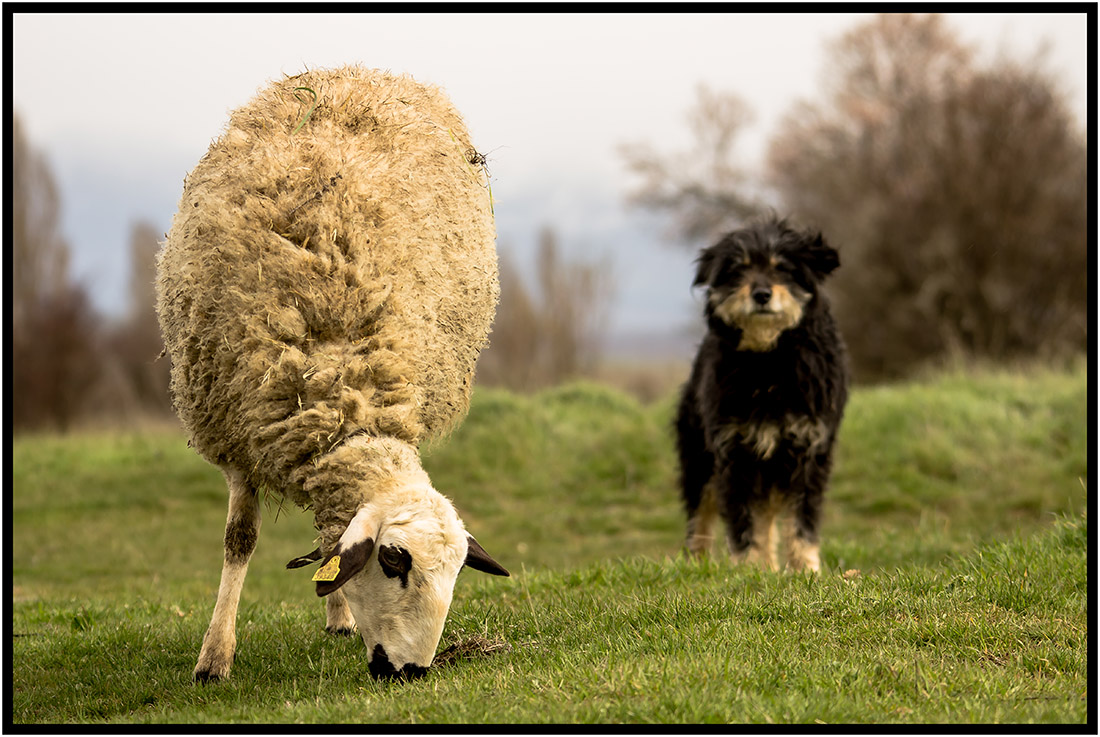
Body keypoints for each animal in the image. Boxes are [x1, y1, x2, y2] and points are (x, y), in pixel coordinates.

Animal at [157, 66, 508, 686]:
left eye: (457, 575)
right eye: (393, 561)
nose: (410, 671)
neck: (342, 395)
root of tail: (357, 70)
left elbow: (330, 554)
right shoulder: (239, 427)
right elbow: (240, 540)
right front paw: (213, 659)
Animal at [668, 216, 849, 576]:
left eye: (783, 268)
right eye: (739, 268)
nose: (761, 294)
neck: (769, 362)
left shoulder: (809, 452)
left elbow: (801, 521)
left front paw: (804, 570)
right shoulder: (734, 453)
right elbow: (744, 523)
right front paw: (749, 570)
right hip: (700, 460)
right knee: (700, 520)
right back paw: (698, 565)